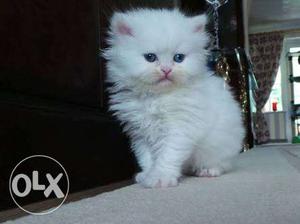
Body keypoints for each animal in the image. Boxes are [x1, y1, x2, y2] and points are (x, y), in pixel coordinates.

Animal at [104, 8, 245, 187]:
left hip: (220, 145)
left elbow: (167, 155)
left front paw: (160, 178)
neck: (157, 97)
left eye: (178, 58)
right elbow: (147, 158)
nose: (166, 70)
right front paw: (147, 175)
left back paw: (208, 170)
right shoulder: (141, 133)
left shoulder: (180, 128)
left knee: (222, 164)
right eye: (150, 57)